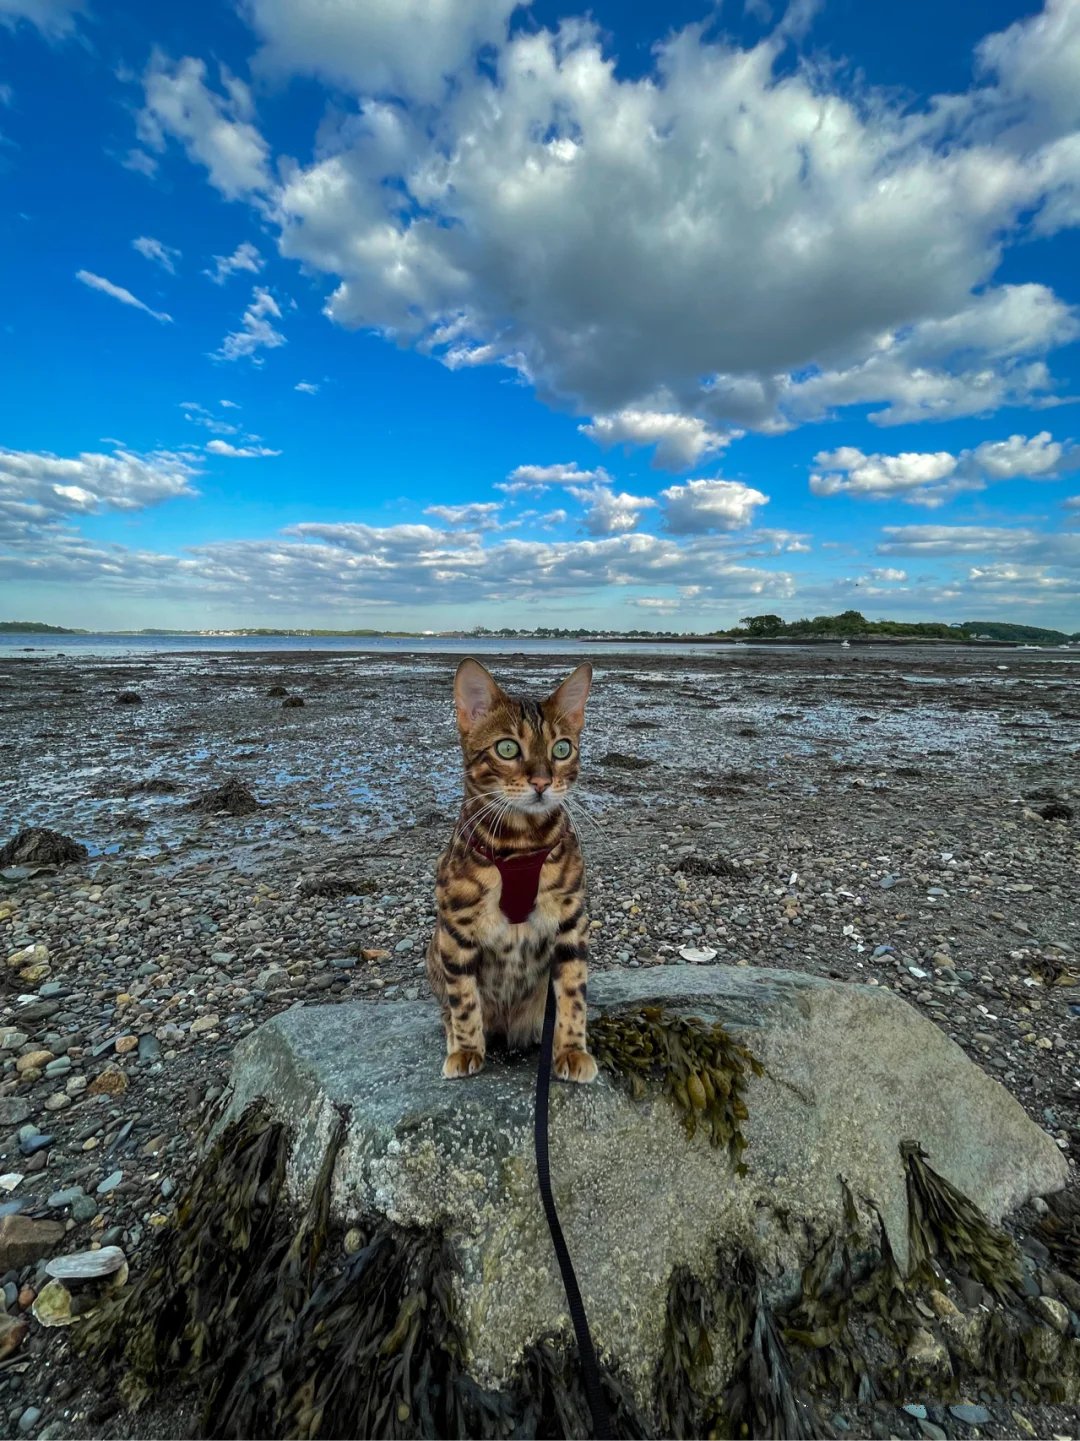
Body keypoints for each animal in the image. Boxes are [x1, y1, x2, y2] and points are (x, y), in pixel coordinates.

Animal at [426, 657, 596, 1083]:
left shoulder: (571, 920)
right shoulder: (456, 928)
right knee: (447, 1008)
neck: (521, 843)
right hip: (433, 950)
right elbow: (463, 1000)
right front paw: (467, 1048)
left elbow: (573, 994)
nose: (542, 781)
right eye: (507, 748)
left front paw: (571, 1049)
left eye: (562, 748)